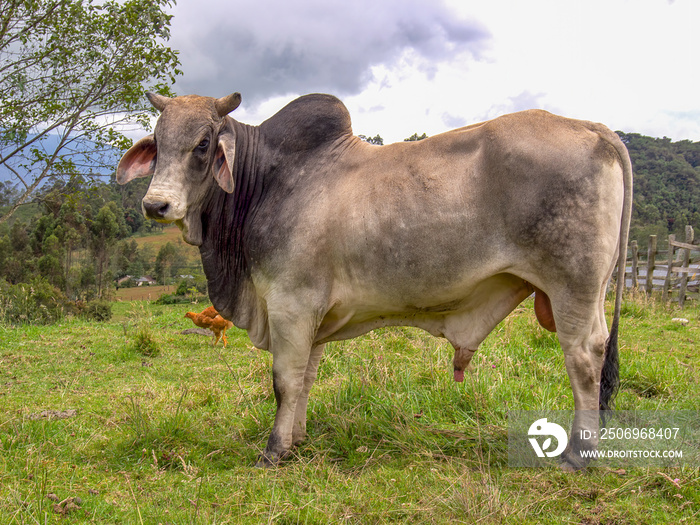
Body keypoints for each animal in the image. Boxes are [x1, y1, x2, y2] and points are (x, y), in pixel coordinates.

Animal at [117, 91, 632, 470]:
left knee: (584, 357)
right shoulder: (311, 315)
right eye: (158, 141)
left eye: (204, 143)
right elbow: (305, 379)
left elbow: (284, 380)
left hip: (573, 287)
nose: (156, 205)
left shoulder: (289, 303)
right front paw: (297, 440)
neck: (265, 181)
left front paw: (274, 451)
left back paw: (579, 454)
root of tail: (596, 128)